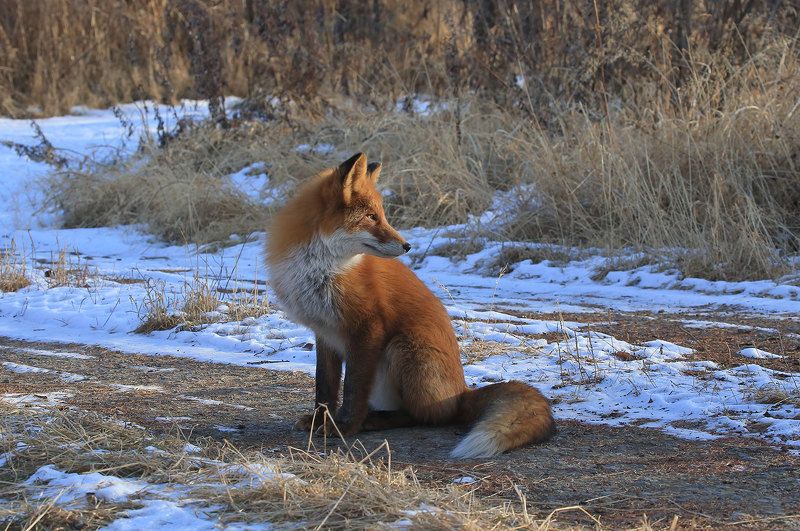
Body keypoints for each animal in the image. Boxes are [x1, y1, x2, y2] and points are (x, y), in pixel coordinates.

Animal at [266, 152, 554, 458]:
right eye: (371, 217)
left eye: (381, 215)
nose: (408, 246)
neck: (324, 269)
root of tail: (461, 393)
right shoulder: (325, 332)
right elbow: (325, 387)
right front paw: (320, 420)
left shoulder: (368, 328)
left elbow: (354, 388)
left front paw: (345, 426)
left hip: (401, 348)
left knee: (422, 416)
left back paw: (373, 420)